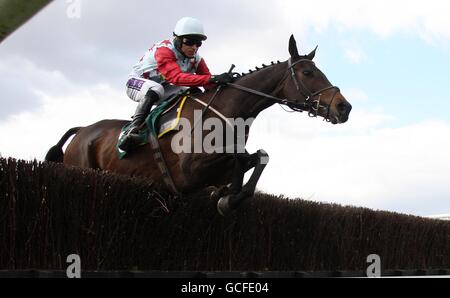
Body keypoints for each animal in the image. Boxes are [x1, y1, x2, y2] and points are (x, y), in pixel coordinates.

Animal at [44, 36, 352, 215]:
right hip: (82, 165)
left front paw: (227, 194)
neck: (227, 112)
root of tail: (83, 130)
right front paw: (228, 197)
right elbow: (241, 158)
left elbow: (258, 157)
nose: (343, 107)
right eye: (308, 72)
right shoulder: (189, 171)